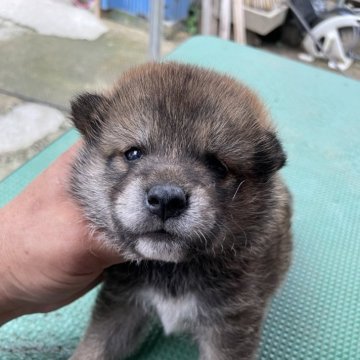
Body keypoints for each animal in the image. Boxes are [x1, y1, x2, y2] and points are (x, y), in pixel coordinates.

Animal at [69, 62, 292, 360]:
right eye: (133, 153)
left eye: (218, 166)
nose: (166, 199)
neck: (172, 270)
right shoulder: (120, 305)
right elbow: (94, 348)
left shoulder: (229, 326)